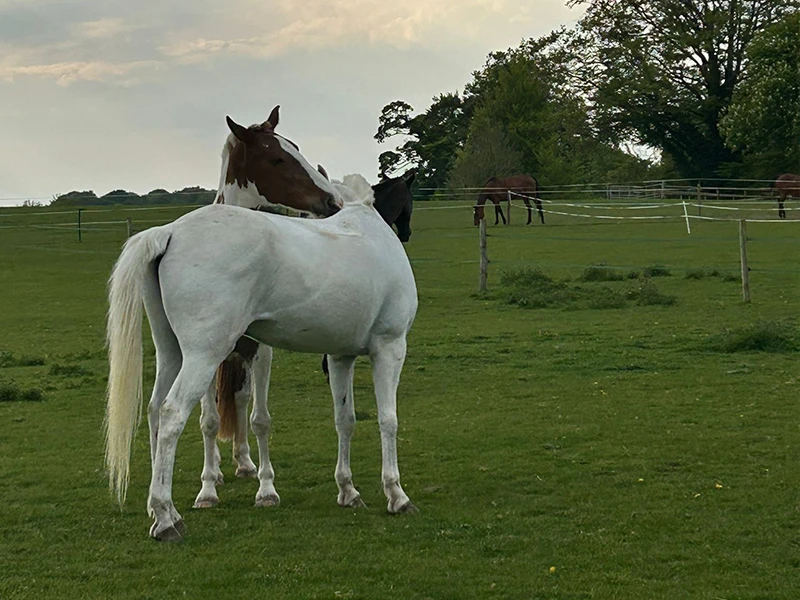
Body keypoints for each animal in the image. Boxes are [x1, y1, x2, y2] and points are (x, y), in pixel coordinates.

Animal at [104, 174, 418, 541]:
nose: (407, 232)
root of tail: (170, 232)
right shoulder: (390, 347)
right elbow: (388, 420)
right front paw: (397, 495)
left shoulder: (340, 357)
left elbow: (345, 420)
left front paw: (348, 491)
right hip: (203, 356)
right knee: (171, 415)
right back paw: (167, 520)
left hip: (172, 353)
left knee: (155, 411)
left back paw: (163, 513)